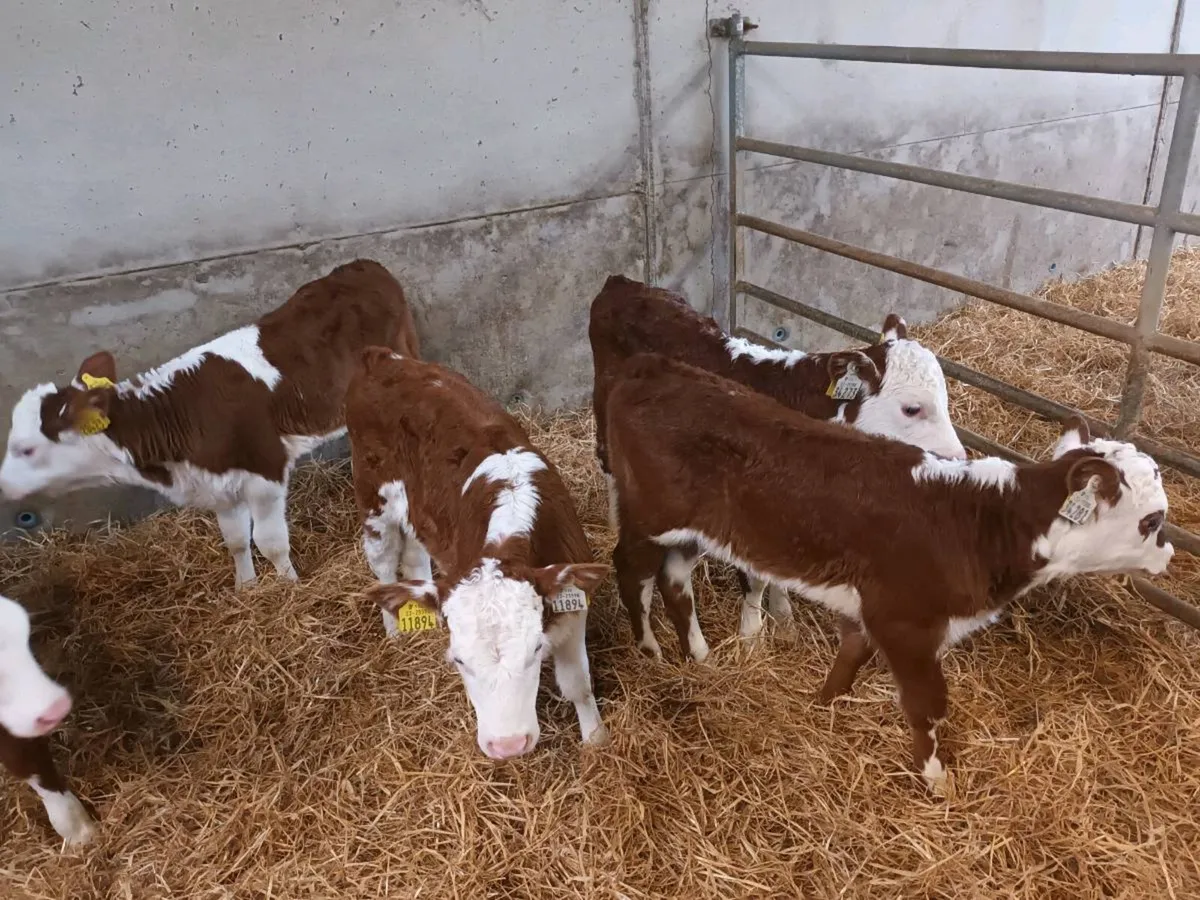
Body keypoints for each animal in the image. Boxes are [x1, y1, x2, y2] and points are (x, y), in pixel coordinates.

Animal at [0, 260, 420, 589]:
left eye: (27, 448)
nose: (2, 486)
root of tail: (363, 265)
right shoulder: (218, 483)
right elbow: (236, 540)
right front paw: (245, 588)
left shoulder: (264, 473)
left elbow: (270, 542)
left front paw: (290, 587)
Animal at [346, 349, 609, 760]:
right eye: (458, 660)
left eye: (536, 649)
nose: (508, 745)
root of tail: (379, 356)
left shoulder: (572, 607)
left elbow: (578, 683)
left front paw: (597, 739)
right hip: (373, 498)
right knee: (385, 563)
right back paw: (394, 630)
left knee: (415, 555)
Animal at [588, 274, 966, 630]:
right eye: (912, 409)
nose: (957, 459)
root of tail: (620, 283)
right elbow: (755, 579)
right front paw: (751, 631)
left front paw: (783, 616)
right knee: (606, 460)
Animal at [604, 352, 1173, 787]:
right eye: (1152, 520)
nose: (1169, 553)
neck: (980, 519)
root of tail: (652, 366)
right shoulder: (906, 623)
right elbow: (928, 705)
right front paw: (937, 779)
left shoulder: (868, 609)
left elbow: (849, 660)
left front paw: (825, 705)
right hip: (647, 519)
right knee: (628, 570)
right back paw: (650, 649)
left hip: (693, 534)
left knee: (676, 583)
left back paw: (699, 656)